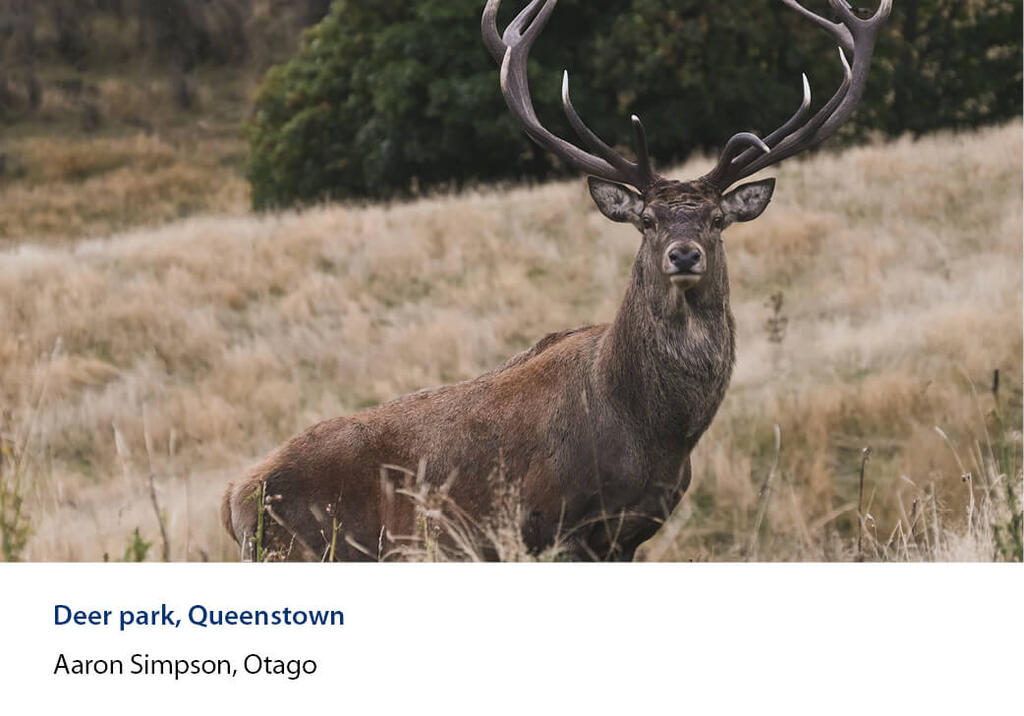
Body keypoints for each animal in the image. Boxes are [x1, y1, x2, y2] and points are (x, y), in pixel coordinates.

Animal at [221, 0, 892, 561]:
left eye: (716, 219)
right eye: (648, 220)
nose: (683, 254)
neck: (653, 432)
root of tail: (235, 498)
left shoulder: (631, 531)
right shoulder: (556, 524)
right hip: (317, 550)